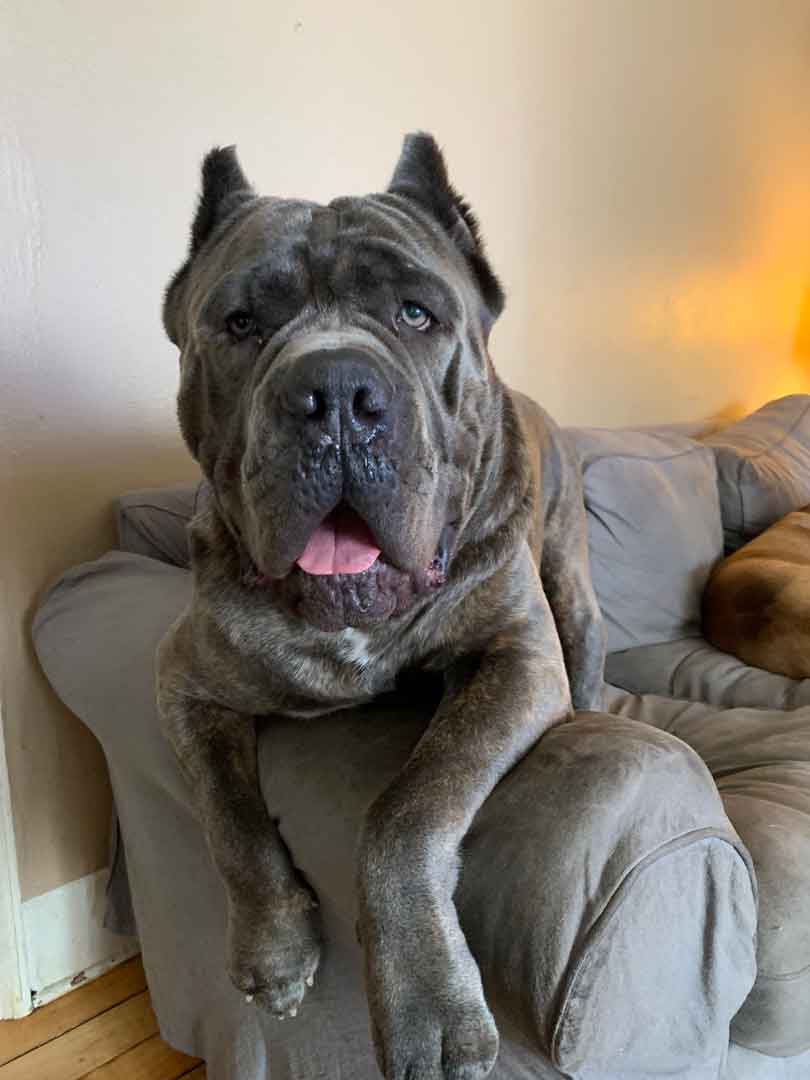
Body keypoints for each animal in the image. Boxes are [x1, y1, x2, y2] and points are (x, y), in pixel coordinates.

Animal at [156, 137, 604, 1080]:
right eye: (240, 324)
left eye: (415, 313)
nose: (333, 391)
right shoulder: (183, 680)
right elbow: (225, 815)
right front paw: (274, 948)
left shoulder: (517, 661)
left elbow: (408, 808)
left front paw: (427, 1002)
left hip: (570, 592)